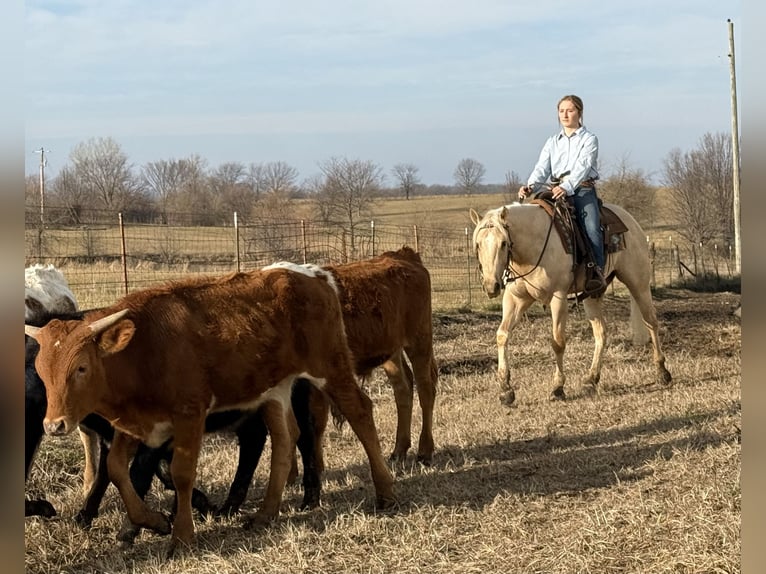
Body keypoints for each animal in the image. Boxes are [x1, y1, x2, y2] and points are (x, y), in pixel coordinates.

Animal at [25, 266, 396, 560]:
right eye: (42, 371)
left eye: (81, 368)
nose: (54, 424)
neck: (144, 351)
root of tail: (315, 275)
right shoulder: (136, 426)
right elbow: (118, 470)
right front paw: (153, 521)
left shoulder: (190, 415)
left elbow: (180, 474)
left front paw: (181, 536)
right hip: (276, 390)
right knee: (285, 438)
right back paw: (265, 513)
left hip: (330, 368)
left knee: (360, 412)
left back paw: (386, 493)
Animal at [468, 201, 672, 404]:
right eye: (478, 244)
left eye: (503, 243)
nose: (491, 286)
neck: (533, 248)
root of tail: (629, 219)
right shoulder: (515, 299)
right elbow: (502, 335)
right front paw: (505, 389)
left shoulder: (558, 298)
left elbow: (558, 342)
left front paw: (558, 387)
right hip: (592, 294)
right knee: (601, 332)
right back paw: (591, 379)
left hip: (638, 283)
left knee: (651, 322)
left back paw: (662, 372)